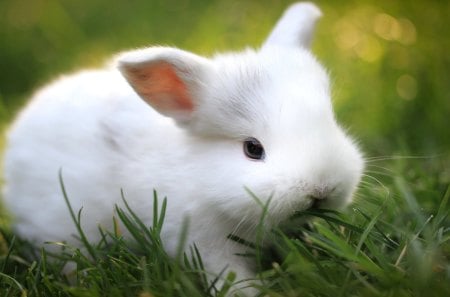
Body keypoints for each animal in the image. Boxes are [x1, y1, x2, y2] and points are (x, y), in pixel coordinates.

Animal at [1, 1, 364, 294]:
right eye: (252, 149)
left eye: (330, 121)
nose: (321, 190)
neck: (201, 177)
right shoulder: (202, 241)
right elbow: (228, 275)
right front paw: (249, 293)